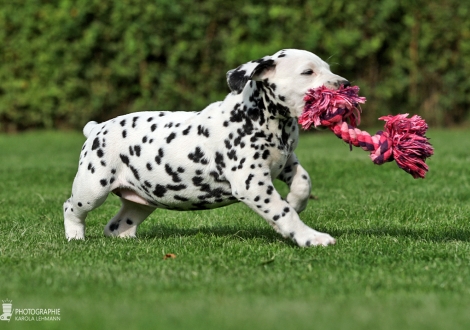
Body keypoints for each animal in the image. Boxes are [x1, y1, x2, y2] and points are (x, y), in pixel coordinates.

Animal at [63, 48, 348, 245]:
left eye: (327, 68)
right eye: (308, 72)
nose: (344, 84)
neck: (263, 119)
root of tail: (96, 127)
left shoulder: (286, 160)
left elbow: (303, 181)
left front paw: (296, 202)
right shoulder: (252, 182)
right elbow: (283, 212)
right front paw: (311, 237)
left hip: (141, 200)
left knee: (115, 226)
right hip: (92, 188)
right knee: (71, 207)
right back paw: (75, 236)